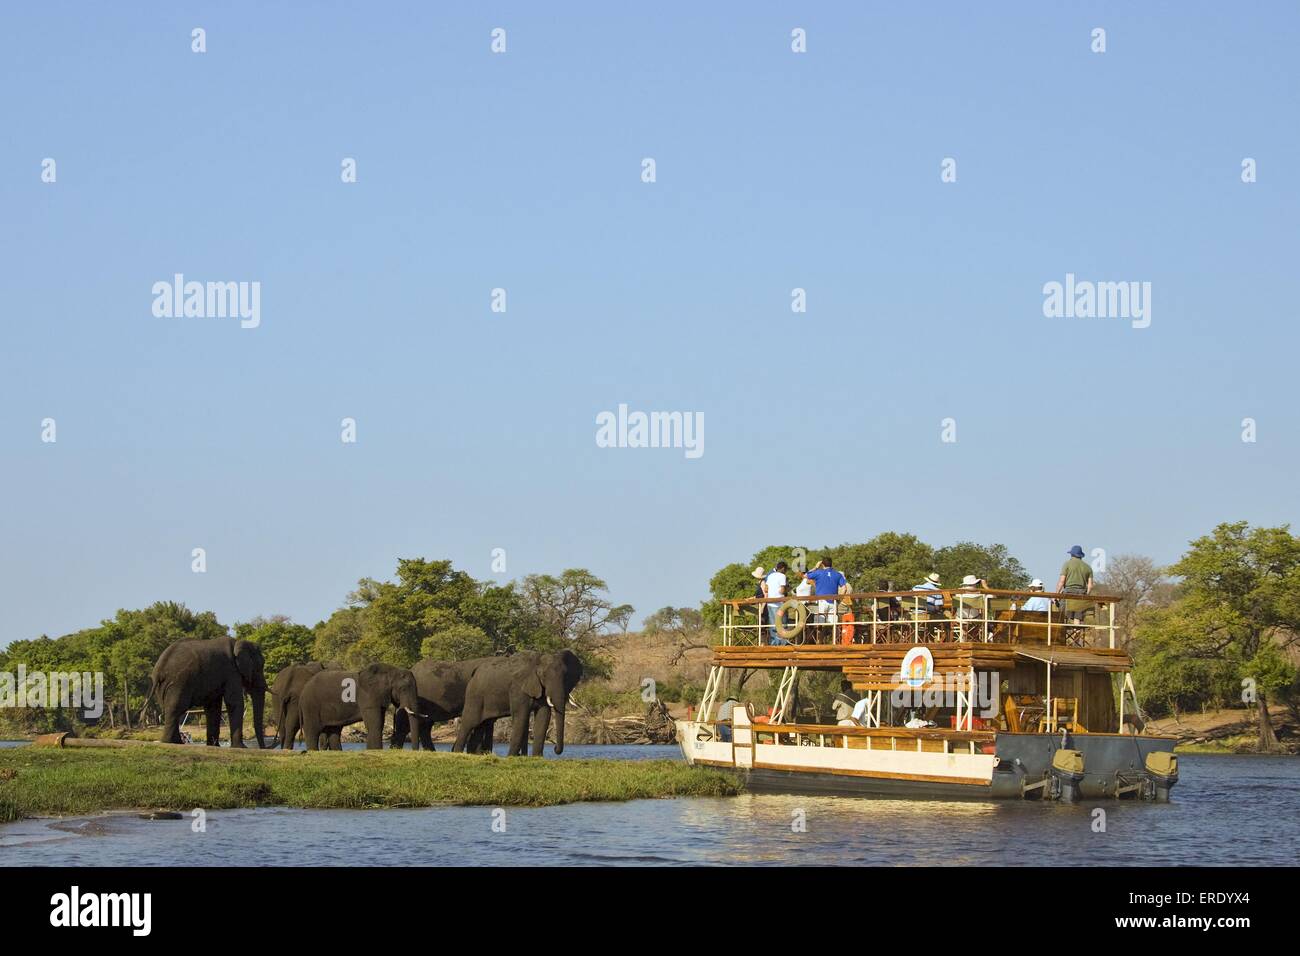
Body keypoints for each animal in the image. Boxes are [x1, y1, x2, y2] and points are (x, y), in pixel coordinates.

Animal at [454, 647, 582, 759]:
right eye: (544, 675)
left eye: (566, 676)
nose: (555, 748)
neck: (538, 660)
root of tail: (474, 673)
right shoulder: (518, 687)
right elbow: (521, 716)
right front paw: (511, 757)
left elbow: (544, 716)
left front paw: (537, 758)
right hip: (475, 695)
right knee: (469, 722)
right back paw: (457, 753)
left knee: (482, 724)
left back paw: (473, 755)